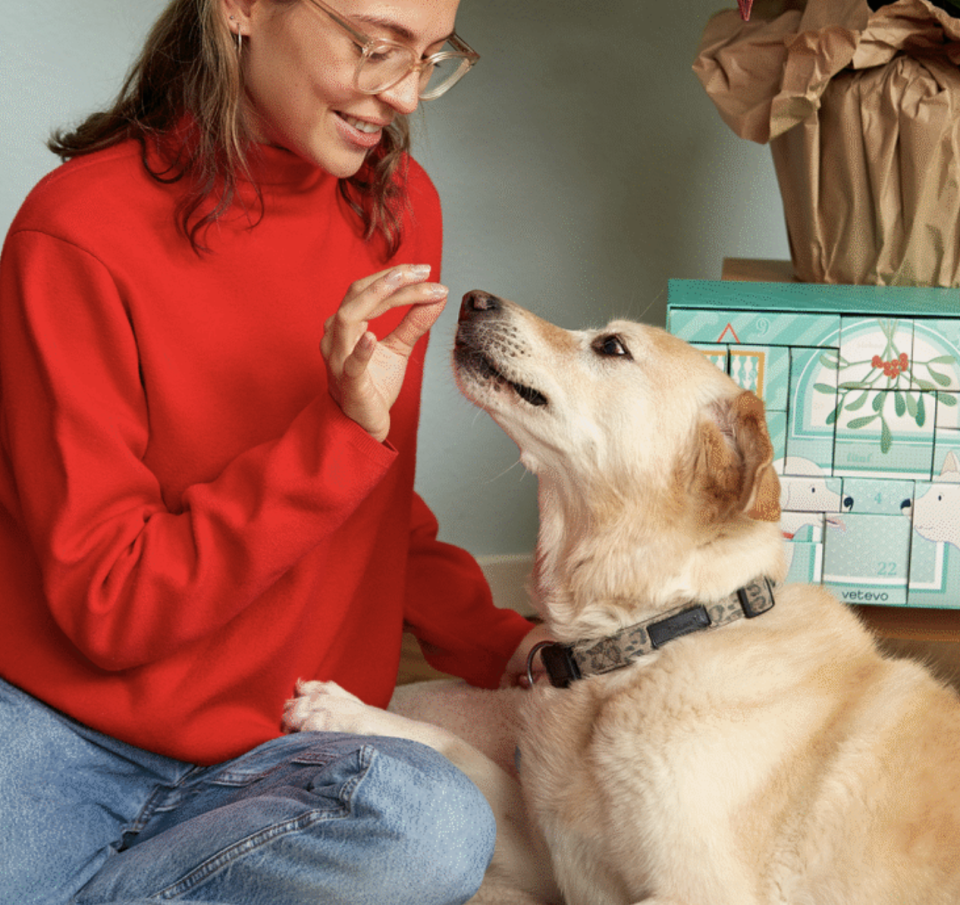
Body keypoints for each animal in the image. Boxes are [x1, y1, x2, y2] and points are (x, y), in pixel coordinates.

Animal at [284, 294, 960, 900]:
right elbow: (461, 754)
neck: (645, 637)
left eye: (611, 346)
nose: (474, 298)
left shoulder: (692, 890)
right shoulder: (557, 858)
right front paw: (341, 711)